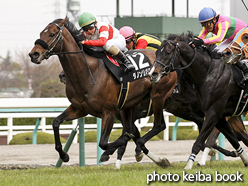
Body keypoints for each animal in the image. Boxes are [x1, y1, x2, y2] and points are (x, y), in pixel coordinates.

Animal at [28, 17, 176, 164]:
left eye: (52, 34)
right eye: (41, 33)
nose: (33, 54)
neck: (89, 73)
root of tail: (168, 65)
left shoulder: (109, 111)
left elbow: (105, 143)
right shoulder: (79, 108)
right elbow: (56, 122)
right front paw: (64, 155)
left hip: (158, 97)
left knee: (159, 125)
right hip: (130, 105)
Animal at [148, 32, 248, 169]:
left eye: (168, 52)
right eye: (157, 52)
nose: (153, 74)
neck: (208, 72)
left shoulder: (213, 113)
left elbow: (201, 141)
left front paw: (190, 165)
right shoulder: (219, 116)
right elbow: (232, 140)